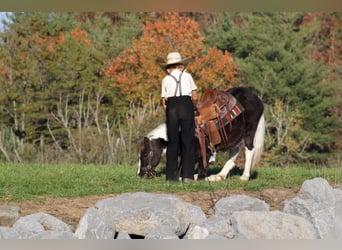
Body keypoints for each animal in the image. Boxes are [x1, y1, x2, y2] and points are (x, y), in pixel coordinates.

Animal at [136, 87, 264, 182]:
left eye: (145, 155)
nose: (140, 174)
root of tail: (255, 96)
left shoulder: (205, 152)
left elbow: (200, 171)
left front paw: (198, 177)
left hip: (249, 132)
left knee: (249, 150)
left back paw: (244, 176)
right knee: (235, 150)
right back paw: (219, 176)